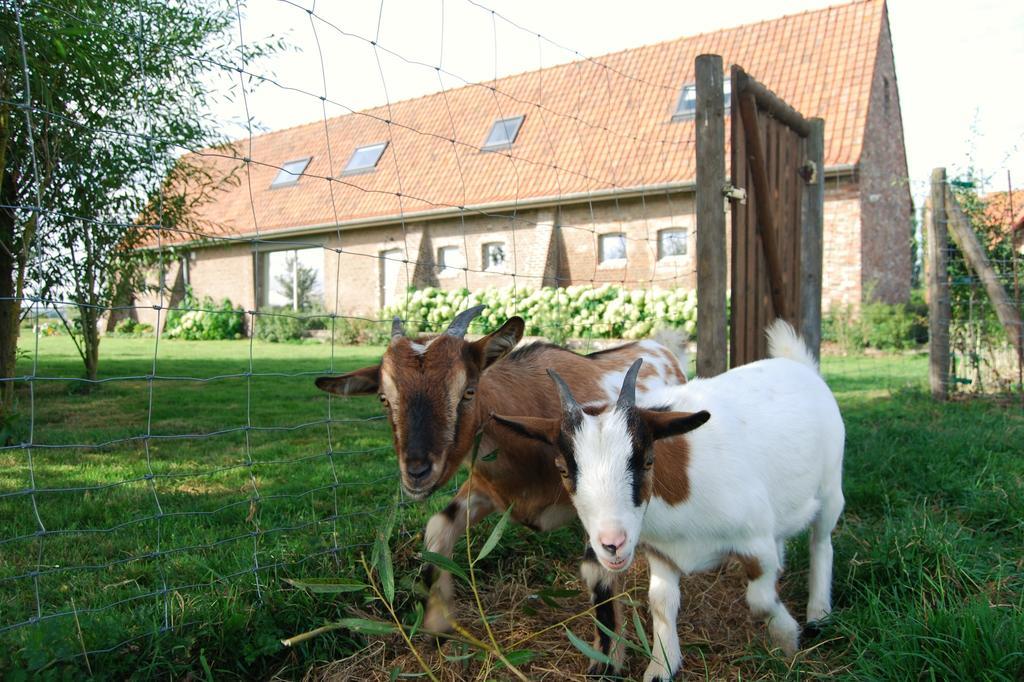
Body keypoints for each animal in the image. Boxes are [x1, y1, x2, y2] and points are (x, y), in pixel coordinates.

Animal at [315, 307, 688, 667]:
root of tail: (662, 346)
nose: (417, 472)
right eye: (383, 398)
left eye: (468, 391)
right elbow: (437, 528)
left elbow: (598, 570)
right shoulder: (486, 491)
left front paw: (606, 661)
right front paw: (438, 625)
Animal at [491, 319, 843, 679]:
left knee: (821, 542)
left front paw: (787, 638)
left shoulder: (755, 541)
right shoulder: (661, 551)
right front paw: (661, 666)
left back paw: (818, 614)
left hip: (831, 488)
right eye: (563, 469)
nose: (612, 544)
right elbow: (660, 603)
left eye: (648, 461)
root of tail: (797, 365)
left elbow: (759, 599)